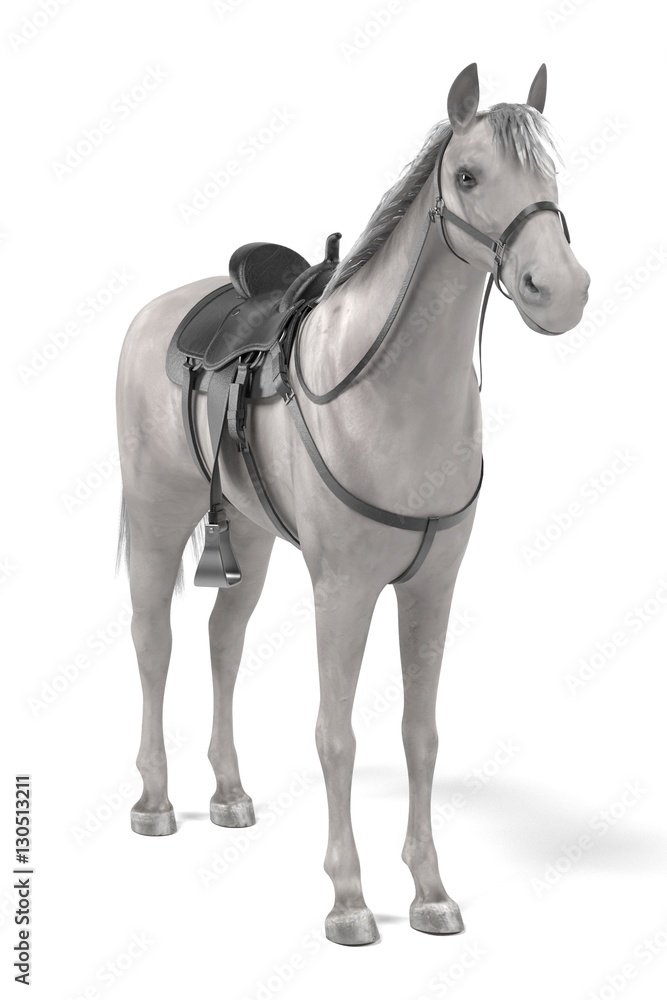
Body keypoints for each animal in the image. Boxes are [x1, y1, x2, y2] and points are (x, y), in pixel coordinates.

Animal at [115, 62, 590, 946]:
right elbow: (335, 735)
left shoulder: (430, 588)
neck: (388, 393)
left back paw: (229, 795)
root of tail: (156, 312)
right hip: (157, 517)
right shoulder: (342, 588)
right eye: (467, 175)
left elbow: (419, 734)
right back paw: (155, 802)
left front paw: (430, 891)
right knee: (153, 643)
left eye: (551, 173)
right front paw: (348, 899)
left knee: (222, 641)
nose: (561, 291)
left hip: (250, 540)